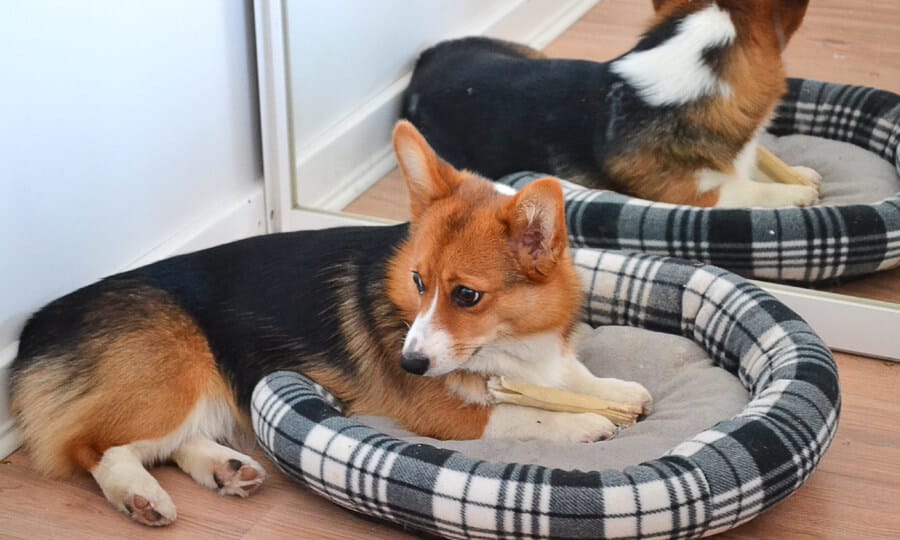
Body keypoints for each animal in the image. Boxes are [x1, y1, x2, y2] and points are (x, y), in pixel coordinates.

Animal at [10, 120, 652, 524]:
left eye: (467, 295)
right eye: (419, 282)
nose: (408, 363)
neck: (509, 343)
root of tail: (39, 326)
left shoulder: (545, 360)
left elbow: (572, 377)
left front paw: (617, 391)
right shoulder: (444, 416)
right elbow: (523, 413)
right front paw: (587, 422)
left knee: (172, 443)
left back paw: (227, 469)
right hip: (175, 378)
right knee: (95, 446)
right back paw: (140, 498)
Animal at [404, 0, 820, 208]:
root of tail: (422, 64)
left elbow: (761, 158)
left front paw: (799, 175)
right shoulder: (693, 194)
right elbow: (743, 190)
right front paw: (797, 195)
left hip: (533, 54)